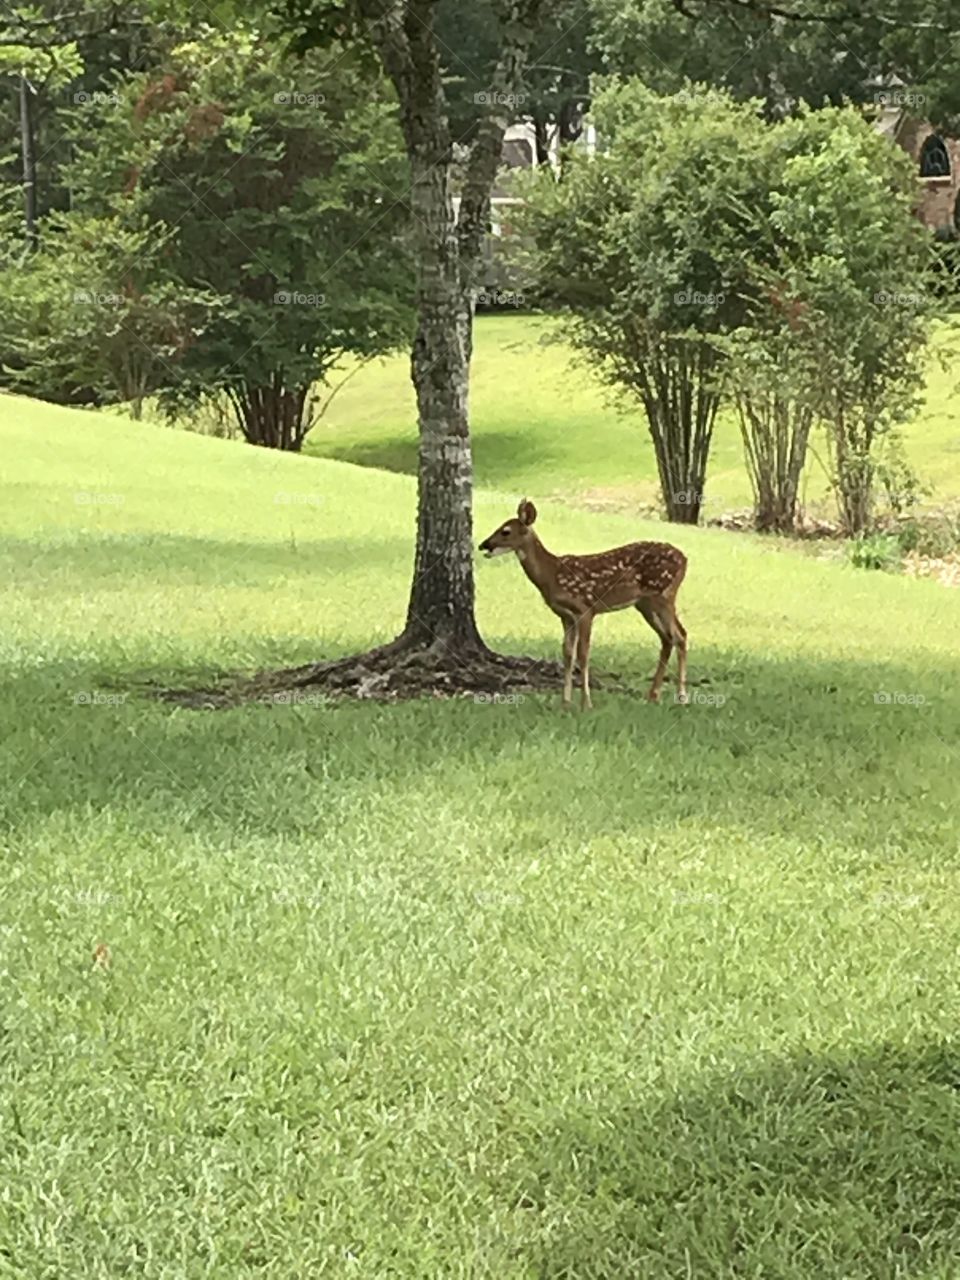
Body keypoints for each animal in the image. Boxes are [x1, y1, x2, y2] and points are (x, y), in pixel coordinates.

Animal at [479, 499, 688, 710]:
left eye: (505, 531)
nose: (483, 545)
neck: (551, 574)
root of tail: (685, 559)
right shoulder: (565, 615)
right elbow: (568, 654)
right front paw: (566, 702)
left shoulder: (585, 609)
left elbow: (583, 654)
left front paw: (586, 703)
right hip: (645, 604)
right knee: (667, 638)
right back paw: (653, 696)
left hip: (663, 595)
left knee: (680, 635)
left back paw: (681, 697)